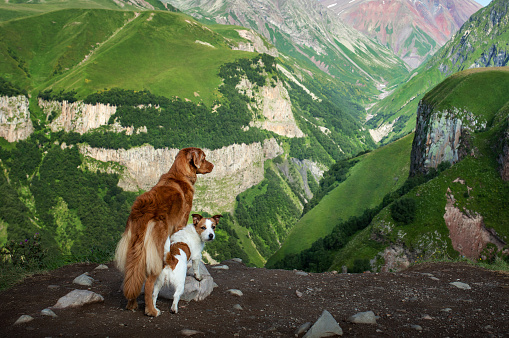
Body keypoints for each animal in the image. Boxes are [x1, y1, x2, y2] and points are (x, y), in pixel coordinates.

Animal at [113, 147, 212, 316]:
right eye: (204, 157)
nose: (213, 165)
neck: (180, 174)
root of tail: (143, 211)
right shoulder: (181, 221)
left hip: (134, 248)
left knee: (133, 275)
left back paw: (132, 304)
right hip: (156, 250)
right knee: (149, 284)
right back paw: (151, 310)